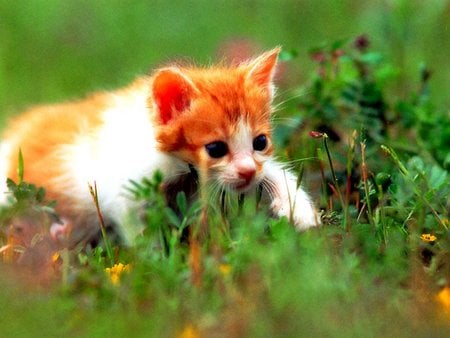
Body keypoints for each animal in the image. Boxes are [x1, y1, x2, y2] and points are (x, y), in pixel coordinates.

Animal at [1, 48, 322, 246]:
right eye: (215, 149)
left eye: (260, 142)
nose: (246, 173)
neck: (176, 164)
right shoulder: (124, 188)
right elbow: (135, 225)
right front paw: (155, 260)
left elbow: (272, 170)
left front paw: (299, 210)